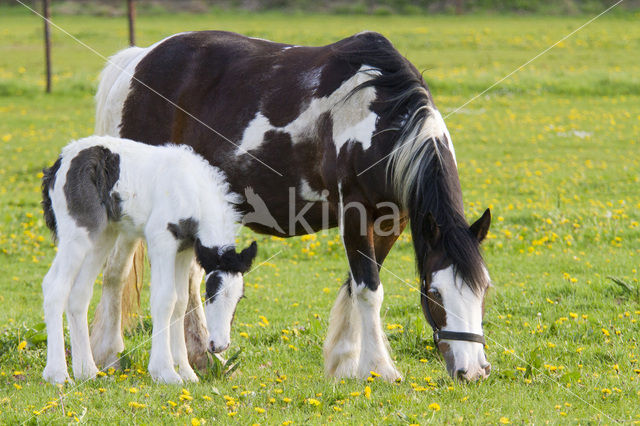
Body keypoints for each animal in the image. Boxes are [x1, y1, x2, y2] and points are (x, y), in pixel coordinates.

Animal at [40, 136, 258, 386]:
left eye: (239, 298)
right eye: (209, 294)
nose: (219, 345)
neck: (191, 190)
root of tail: (60, 162)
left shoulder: (184, 249)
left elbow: (181, 302)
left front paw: (186, 372)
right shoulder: (161, 240)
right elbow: (165, 299)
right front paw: (165, 372)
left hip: (103, 235)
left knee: (79, 293)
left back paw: (88, 371)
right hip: (77, 233)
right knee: (54, 286)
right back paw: (58, 374)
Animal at [91, 31, 490, 382]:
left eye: (484, 288)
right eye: (434, 293)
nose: (472, 370)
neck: (378, 115)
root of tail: (138, 61)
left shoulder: (393, 220)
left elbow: (357, 285)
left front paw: (345, 361)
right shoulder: (355, 213)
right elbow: (369, 289)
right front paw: (380, 368)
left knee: (187, 281)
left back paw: (200, 357)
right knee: (115, 272)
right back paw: (108, 354)